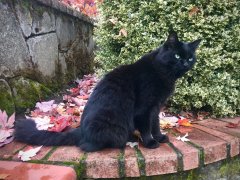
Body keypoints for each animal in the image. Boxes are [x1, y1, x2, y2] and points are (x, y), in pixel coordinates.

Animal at [14, 31, 201, 152]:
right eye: (177, 56)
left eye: (190, 57)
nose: (185, 63)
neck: (163, 73)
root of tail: (80, 130)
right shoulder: (144, 109)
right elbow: (146, 127)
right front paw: (150, 142)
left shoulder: (155, 108)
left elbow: (155, 124)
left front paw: (160, 137)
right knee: (86, 146)